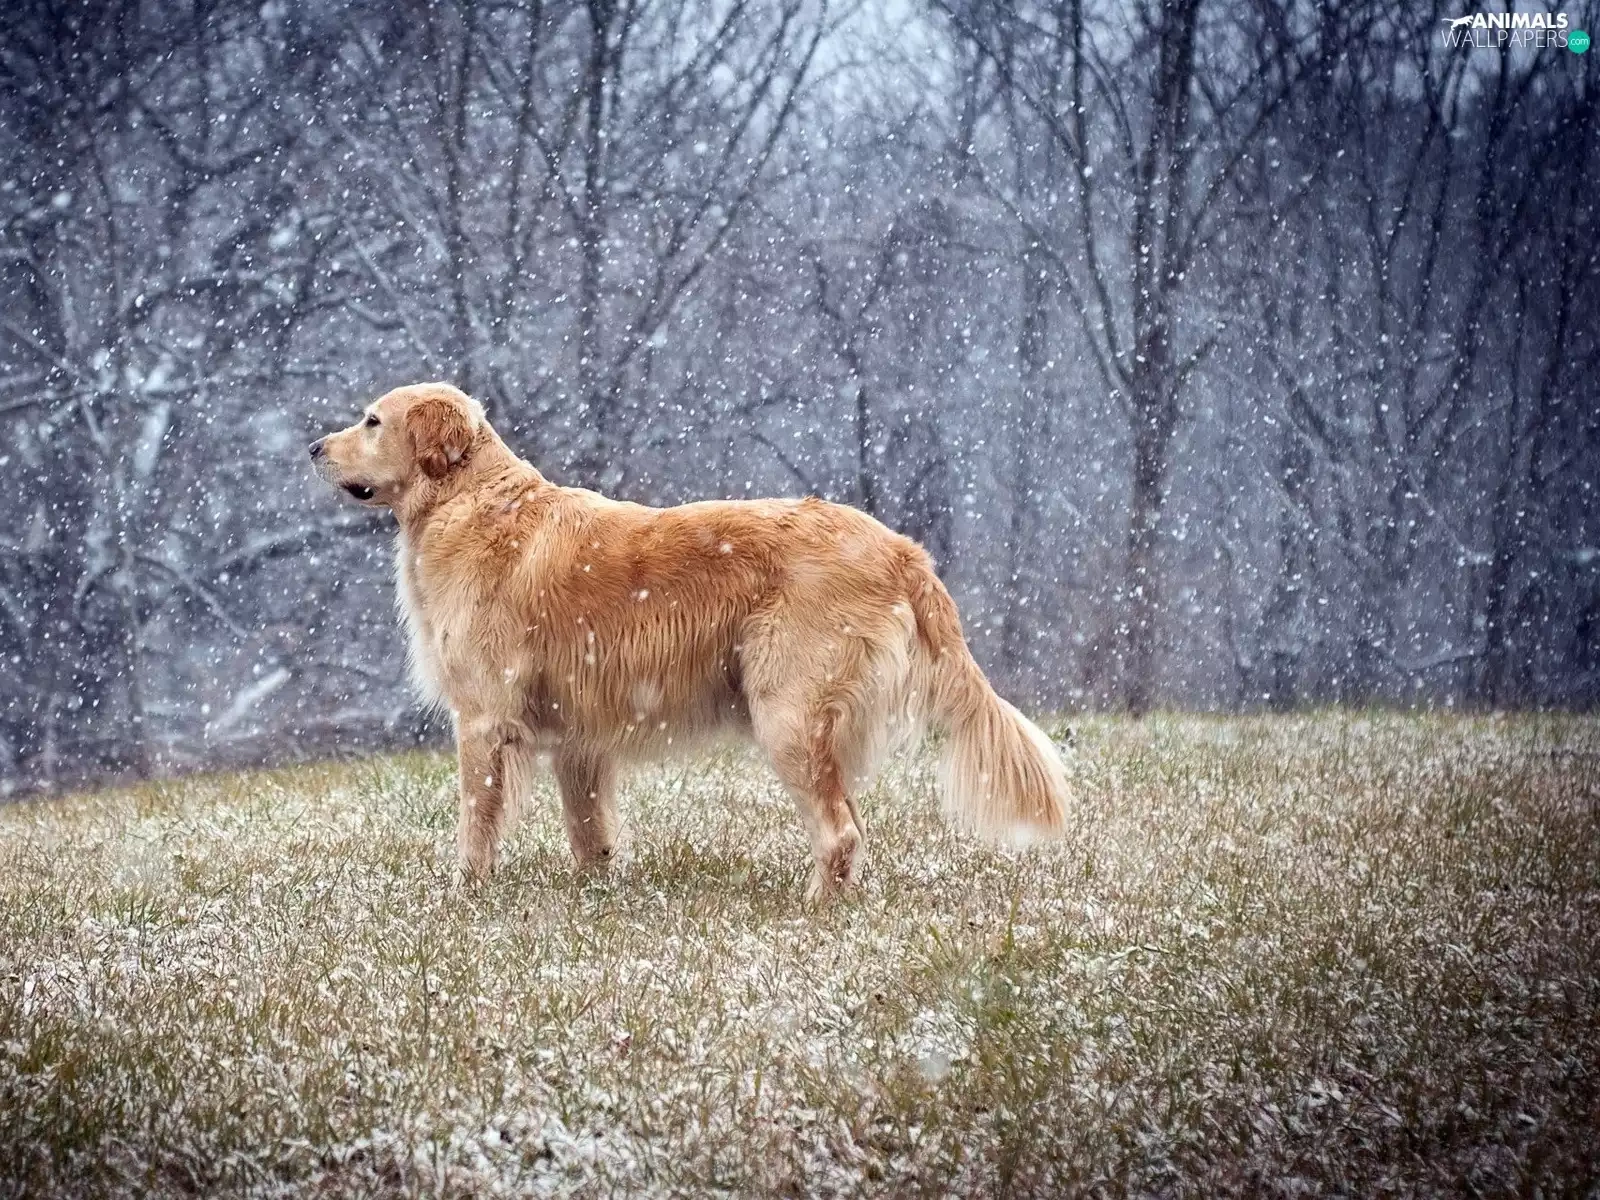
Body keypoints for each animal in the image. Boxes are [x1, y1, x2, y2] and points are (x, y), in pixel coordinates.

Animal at [310, 383, 1068, 897]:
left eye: (372, 421)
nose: (313, 447)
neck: (470, 501)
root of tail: (899, 547)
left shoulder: (483, 720)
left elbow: (475, 820)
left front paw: (466, 894)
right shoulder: (578, 740)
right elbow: (589, 833)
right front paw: (594, 896)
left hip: (787, 714)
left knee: (839, 831)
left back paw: (812, 907)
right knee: (852, 826)